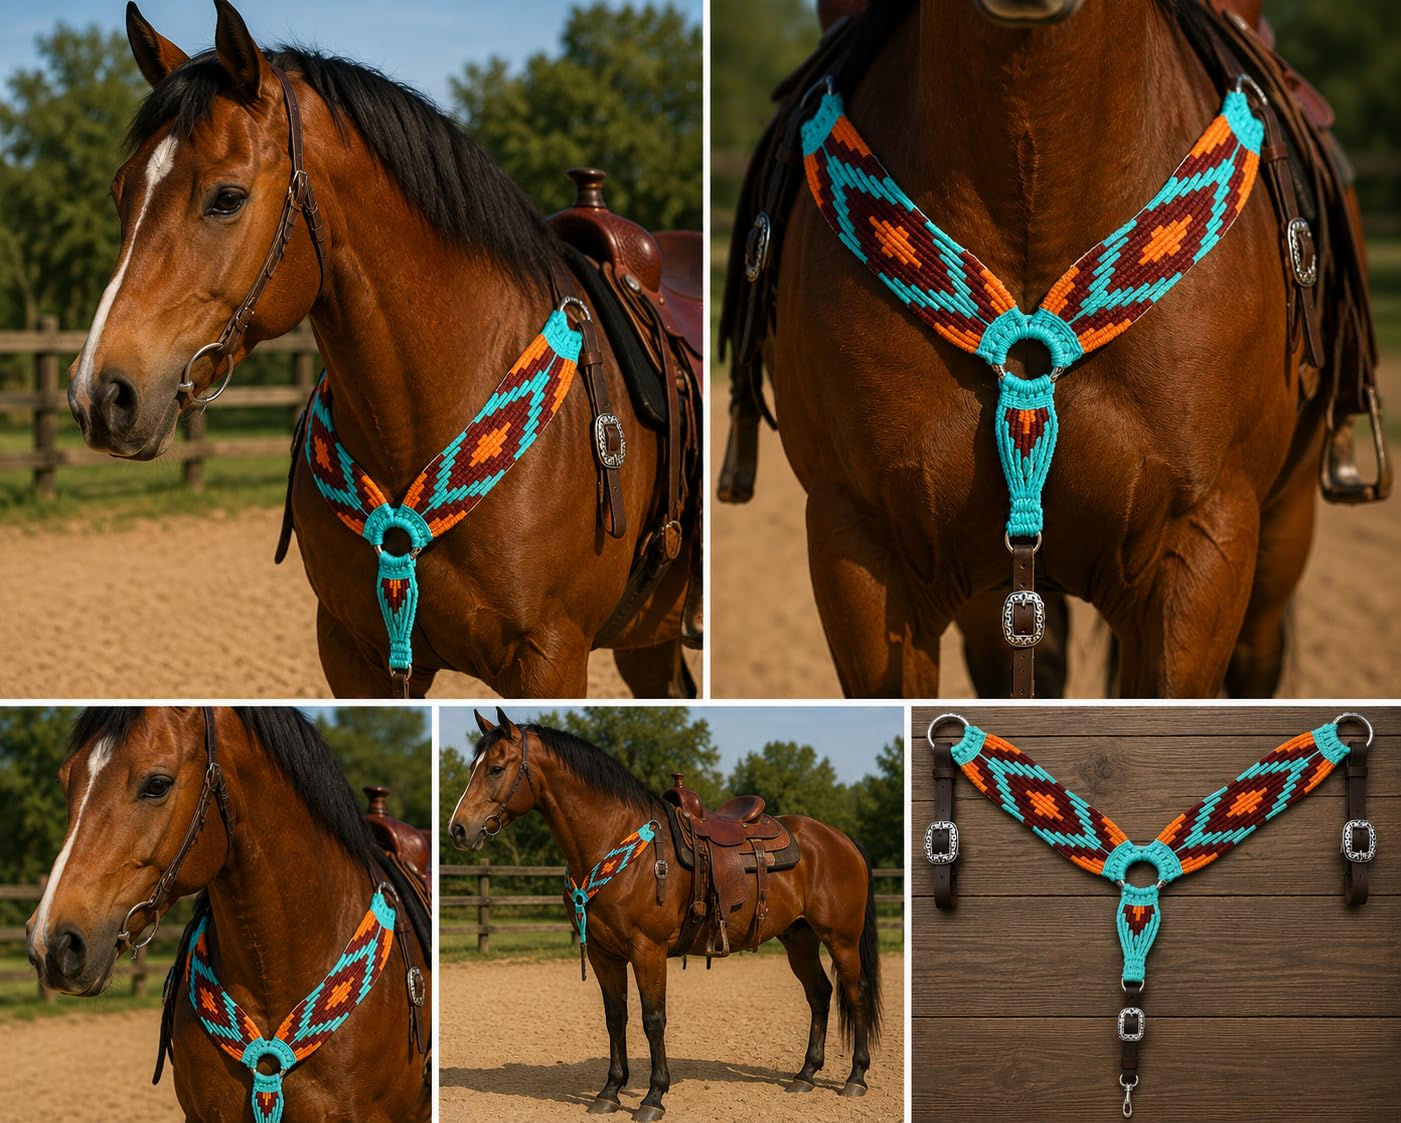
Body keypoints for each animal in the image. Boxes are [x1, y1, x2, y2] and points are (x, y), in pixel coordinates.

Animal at [447, 708, 885, 1120]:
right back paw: (805, 1075)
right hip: (799, 937)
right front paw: (610, 1092)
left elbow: (652, 1019)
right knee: (820, 994)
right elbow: (615, 1017)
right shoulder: (604, 955)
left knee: (855, 992)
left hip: (841, 939)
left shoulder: (648, 951)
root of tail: (838, 838)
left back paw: (856, 1077)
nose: (458, 829)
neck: (617, 842)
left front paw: (653, 1097)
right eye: (473, 767)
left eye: (496, 768)